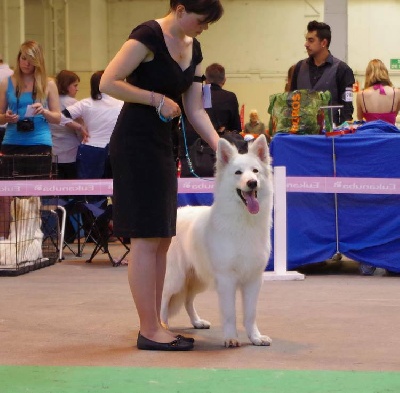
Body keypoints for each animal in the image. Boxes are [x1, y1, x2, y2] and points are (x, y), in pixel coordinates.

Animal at [161, 135, 274, 346]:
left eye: (255, 171)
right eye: (238, 173)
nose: (252, 183)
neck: (243, 222)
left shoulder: (253, 280)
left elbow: (250, 314)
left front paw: (255, 337)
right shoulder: (227, 279)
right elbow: (230, 313)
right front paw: (231, 338)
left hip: (198, 279)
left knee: (188, 300)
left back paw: (197, 322)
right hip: (175, 278)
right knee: (162, 299)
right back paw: (162, 326)